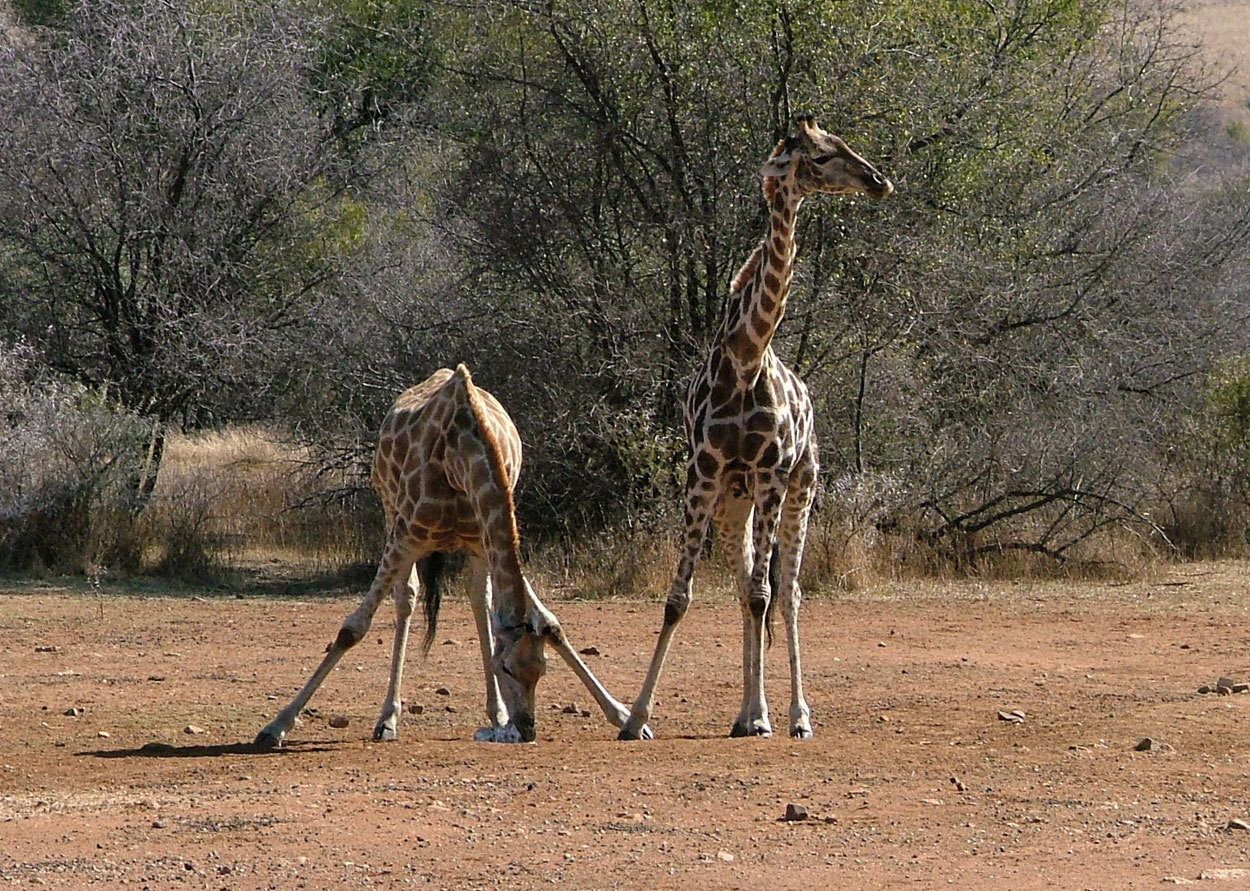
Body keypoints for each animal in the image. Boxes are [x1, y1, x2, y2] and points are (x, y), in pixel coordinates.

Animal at [248, 364, 650, 744]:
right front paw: (275, 726)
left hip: (471, 546)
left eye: (542, 669)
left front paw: (625, 717)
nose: (527, 727)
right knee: (407, 597)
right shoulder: (406, 535)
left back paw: (496, 714)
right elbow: (352, 629)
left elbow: (548, 622)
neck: (462, 454)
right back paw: (388, 719)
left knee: (478, 598)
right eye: (506, 668)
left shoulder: (484, 535)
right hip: (391, 511)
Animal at [620, 119, 895, 744]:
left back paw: (792, 715)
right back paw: (746, 713)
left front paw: (770, 713)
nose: (879, 180)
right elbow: (681, 598)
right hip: (733, 503)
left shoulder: (771, 473)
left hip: (801, 489)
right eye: (821, 155)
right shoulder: (703, 472)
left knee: (785, 594)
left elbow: (766, 594)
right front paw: (638, 716)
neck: (746, 358)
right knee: (747, 586)